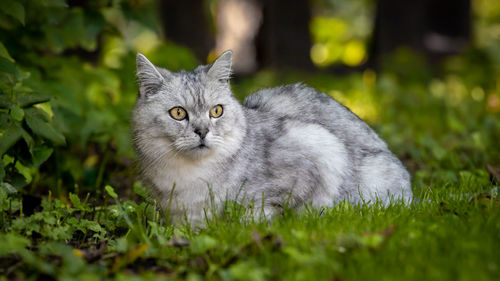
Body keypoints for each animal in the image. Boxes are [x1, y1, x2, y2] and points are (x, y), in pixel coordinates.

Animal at [131, 50, 412, 223]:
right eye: (178, 113)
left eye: (216, 111)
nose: (202, 131)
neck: (191, 174)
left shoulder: (319, 148)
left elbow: (265, 211)